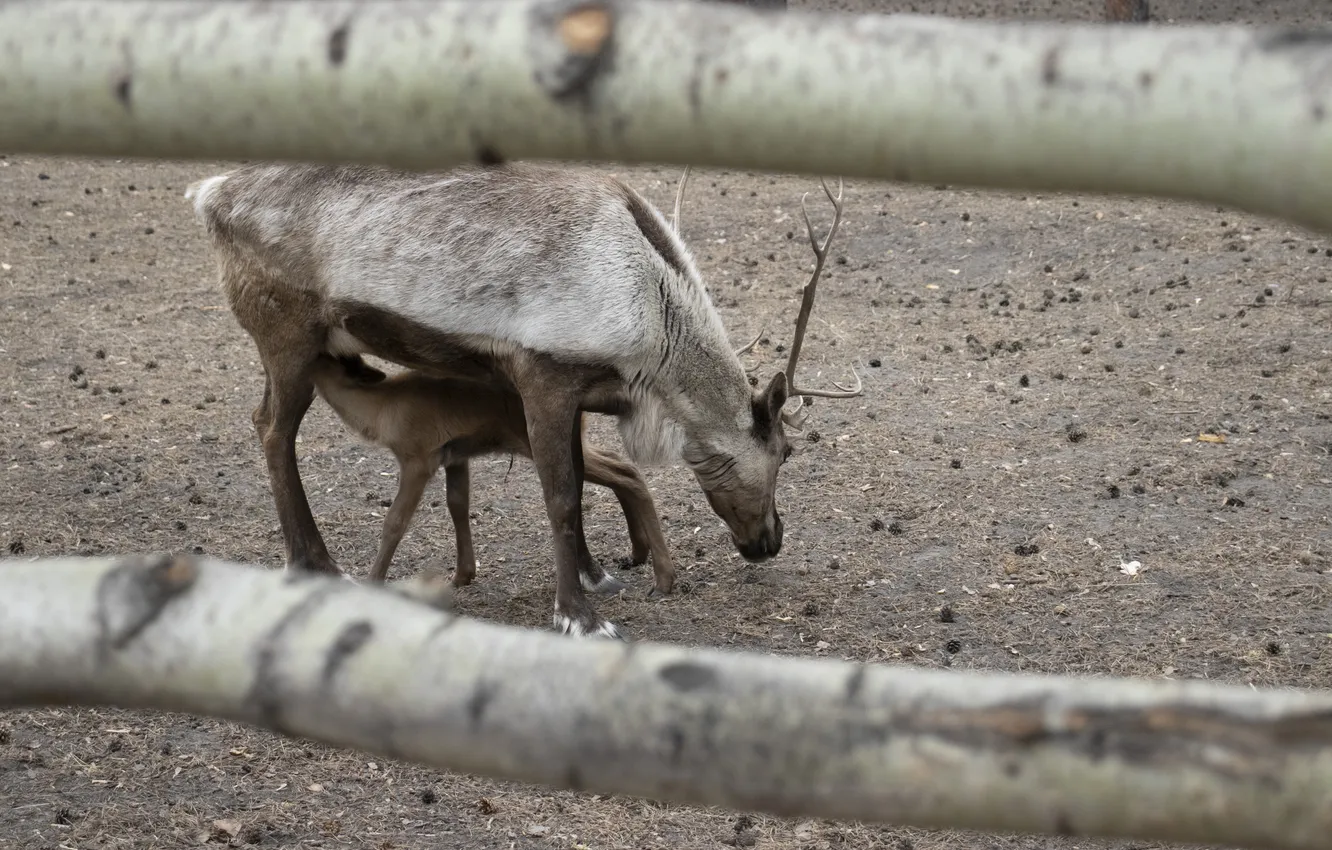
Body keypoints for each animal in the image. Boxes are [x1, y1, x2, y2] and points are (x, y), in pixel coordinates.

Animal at [306, 357, 671, 596]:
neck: (383, 408)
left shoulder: (418, 460)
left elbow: (394, 522)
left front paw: (372, 583)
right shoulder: (455, 456)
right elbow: (457, 505)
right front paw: (461, 576)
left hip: (536, 445)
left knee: (628, 472)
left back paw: (663, 578)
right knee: (622, 467)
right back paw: (637, 554)